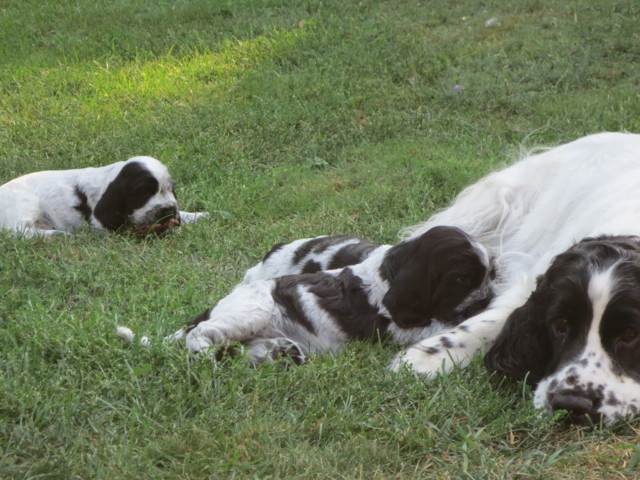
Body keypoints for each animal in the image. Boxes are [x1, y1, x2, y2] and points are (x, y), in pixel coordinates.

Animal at [0, 157, 208, 237]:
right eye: (143, 193)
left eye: (170, 189)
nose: (167, 211)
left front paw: (199, 215)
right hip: (27, 203)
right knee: (19, 232)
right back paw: (57, 234)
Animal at [158, 227, 492, 366]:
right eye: (461, 280)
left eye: (491, 274)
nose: (486, 300)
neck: (387, 273)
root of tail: (212, 307)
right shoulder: (396, 327)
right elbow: (443, 324)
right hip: (252, 311)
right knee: (203, 334)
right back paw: (205, 355)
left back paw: (280, 351)